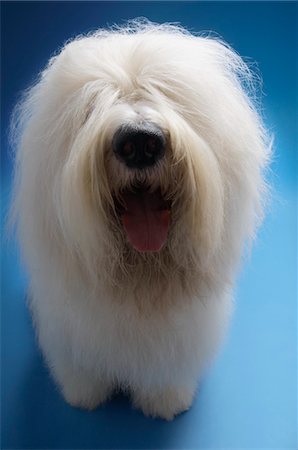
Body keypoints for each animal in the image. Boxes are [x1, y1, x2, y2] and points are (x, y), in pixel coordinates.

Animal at [10, 21, 268, 420]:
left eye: (167, 96)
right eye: (93, 106)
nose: (140, 142)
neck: (141, 280)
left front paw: (165, 402)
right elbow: (84, 372)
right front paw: (84, 396)